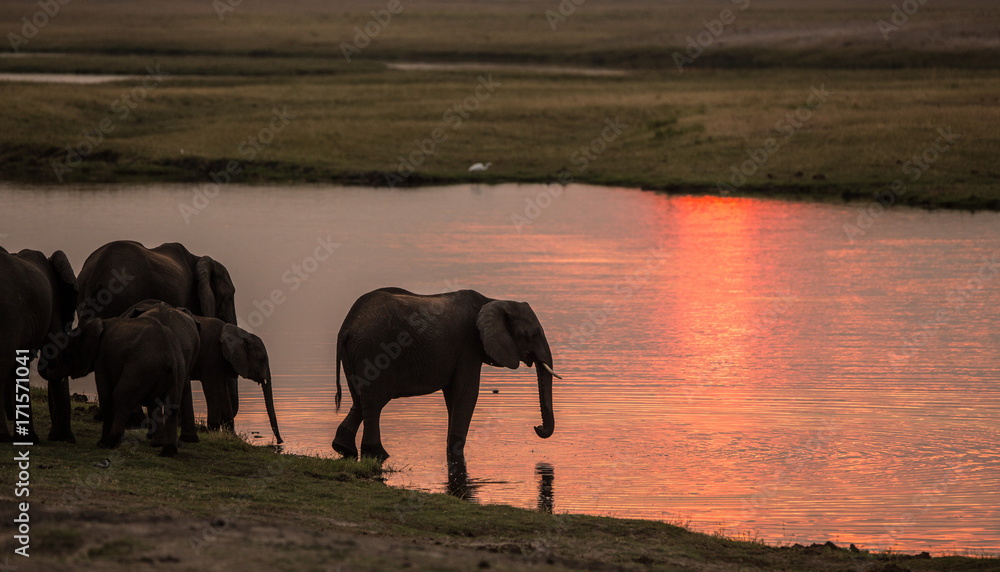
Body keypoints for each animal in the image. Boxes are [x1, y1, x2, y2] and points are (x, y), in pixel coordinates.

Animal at [63, 306, 199, 456]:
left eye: (69, 350)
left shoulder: (102, 359)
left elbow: (106, 394)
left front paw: (101, 444)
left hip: (141, 367)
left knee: (121, 397)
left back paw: (109, 443)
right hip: (176, 366)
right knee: (171, 404)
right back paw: (166, 451)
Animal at [122, 300, 282, 444]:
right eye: (262, 359)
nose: (280, 442)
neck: (240, 332)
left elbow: (223, 392)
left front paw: (231, 436)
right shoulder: (212, 355)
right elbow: (214, 389)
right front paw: (213, 430)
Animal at [332, 287, 560, 473]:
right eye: (533, 334)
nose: (537, 427)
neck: (494, 300)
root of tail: (347, 328)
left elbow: (453, 396)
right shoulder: (469, 346)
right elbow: (466, 393)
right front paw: (456, 453)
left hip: (356, 355)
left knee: (360, 400)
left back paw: (343, 448)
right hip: (374, 352)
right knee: (374, 403)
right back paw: (378, 454)